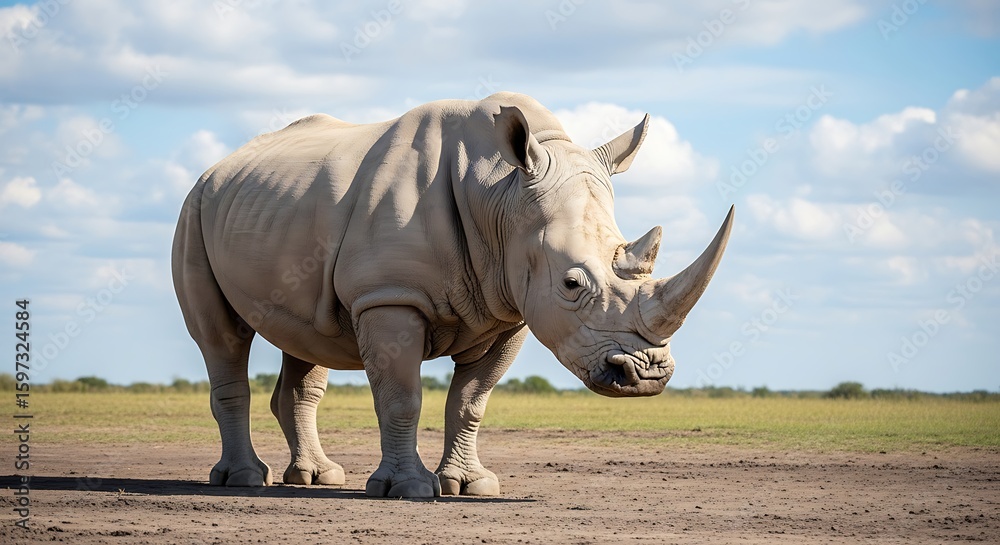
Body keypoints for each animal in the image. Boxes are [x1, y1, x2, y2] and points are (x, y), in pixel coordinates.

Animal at [171, 92, 733, 498]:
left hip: (268, 212)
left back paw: (317, 478)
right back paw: (245, 480)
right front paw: (409, 490)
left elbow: (470, 401)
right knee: (222, 339)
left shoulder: (511, 309)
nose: (647, 375)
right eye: (572, 285)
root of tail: (218, 168)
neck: (501, 193)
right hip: (193, 209)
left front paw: (471, 485)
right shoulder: (389, 295)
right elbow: (402, 396)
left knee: (305, 342)